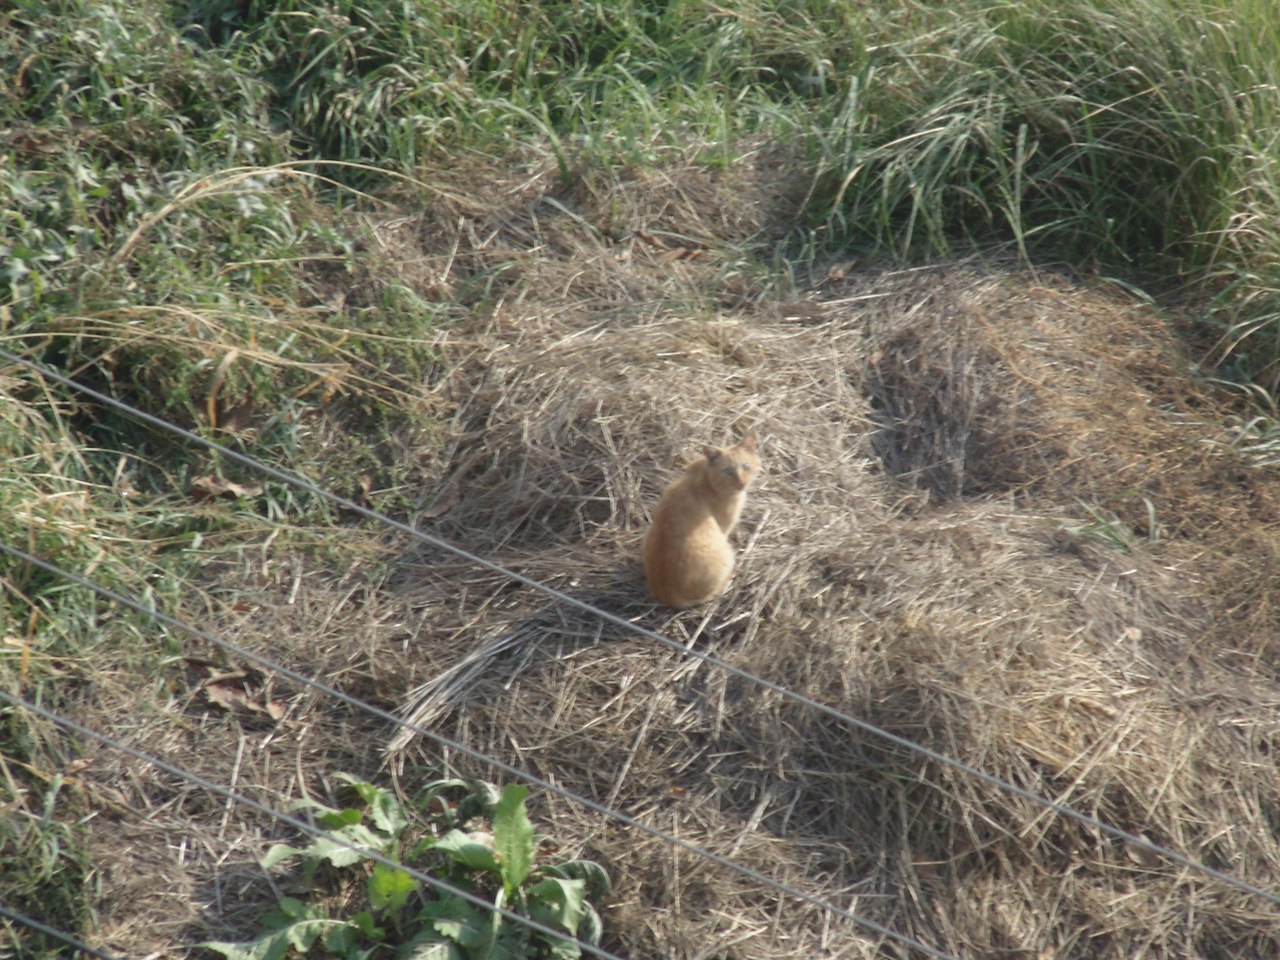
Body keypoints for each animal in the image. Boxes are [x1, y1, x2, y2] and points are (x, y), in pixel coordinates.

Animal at [640, 435, 757, 609]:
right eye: (727, 471)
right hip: (726, 554)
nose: (741, 483)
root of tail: (670, 596)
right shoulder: (724, 528)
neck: (706, 476)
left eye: (746, 466)